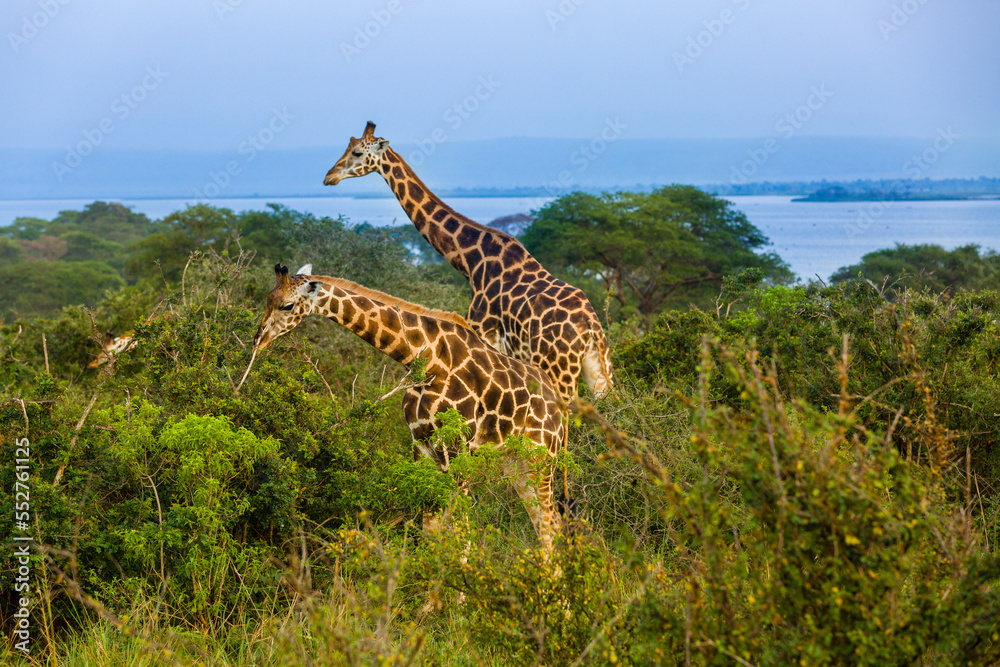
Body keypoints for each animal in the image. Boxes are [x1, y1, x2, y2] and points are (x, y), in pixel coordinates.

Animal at [245, 264, 566, 549]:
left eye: (287, 305)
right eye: (267, 299)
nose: (258, 340)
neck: (426, 360)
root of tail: (560, 406)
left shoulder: (457, 447)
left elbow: (459, 531)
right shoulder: (422, 445)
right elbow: (431, 527)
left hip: (541, 456)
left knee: (550, 524)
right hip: (515, 462)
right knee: (543, 522)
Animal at [323, 122, 613, 404]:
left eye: (356, 153)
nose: (329, 177)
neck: (471, 262)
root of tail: (590, 329)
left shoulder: (484, 333)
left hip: (557, 369)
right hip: (598, 371)